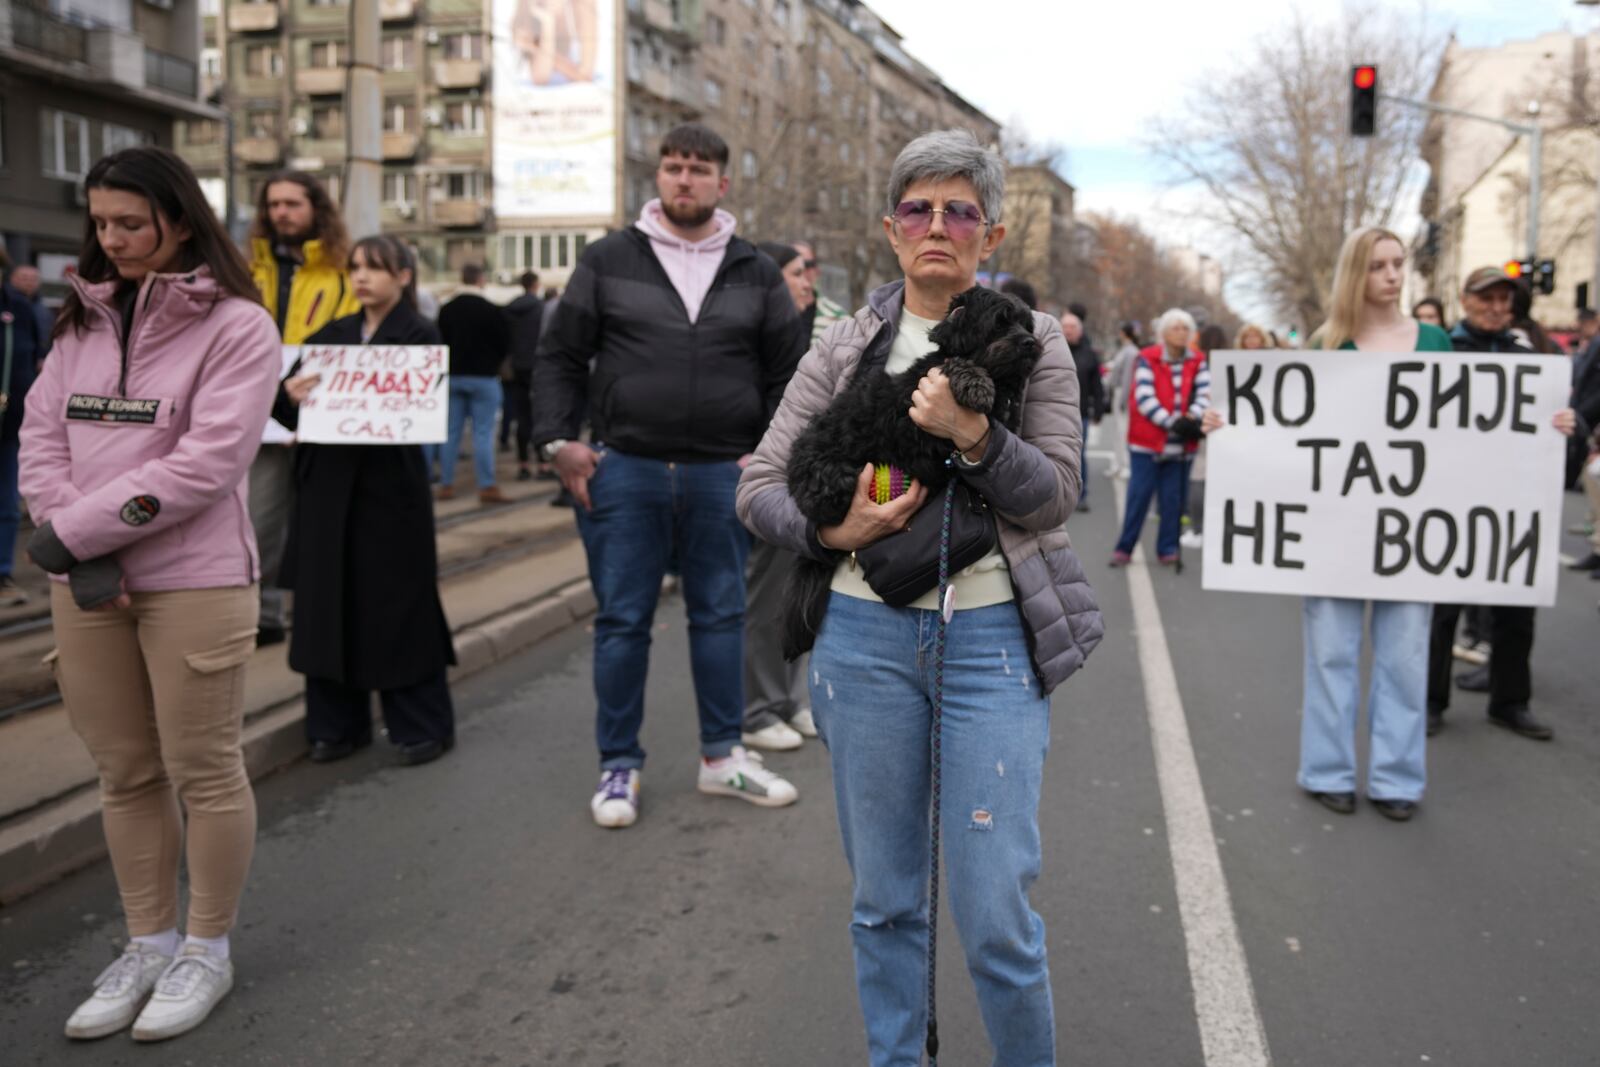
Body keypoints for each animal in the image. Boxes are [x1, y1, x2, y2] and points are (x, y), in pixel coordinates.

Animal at [780, 283, 1043, 655]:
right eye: (1000, 322)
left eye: (1027, 325)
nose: (1030, 343)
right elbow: (956, 366)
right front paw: (973, 383)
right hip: (839, 480)